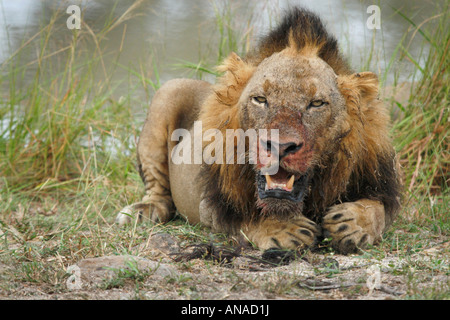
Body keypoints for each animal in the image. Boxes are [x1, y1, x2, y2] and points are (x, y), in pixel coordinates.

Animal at [116, 8, 400, 255]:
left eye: (316, 104)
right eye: (261, 100)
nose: (280, 146)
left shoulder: (381, 180)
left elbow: (379, 210)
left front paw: (352, 223)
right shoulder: (212, 204)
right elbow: (245, 216)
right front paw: (284, 230)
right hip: (168, 92)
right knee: (158, 188)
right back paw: (142, 210)